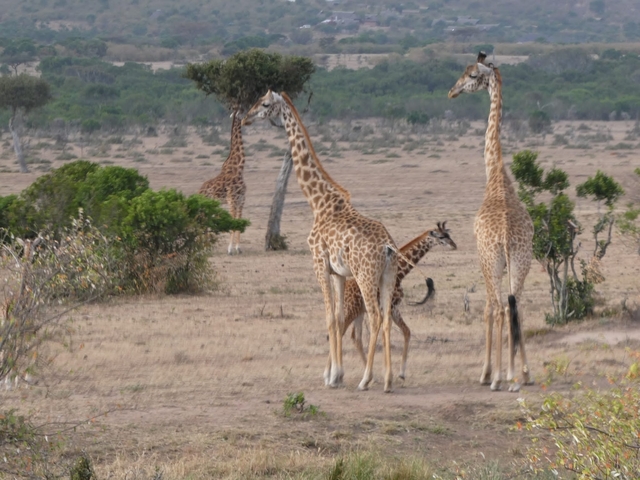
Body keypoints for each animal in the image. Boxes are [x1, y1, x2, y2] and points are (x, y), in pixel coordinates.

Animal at [198, 110, 247, 254]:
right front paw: (230, 249)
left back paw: (206, 246)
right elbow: (233, 220)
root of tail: (198, 191)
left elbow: (239, 220)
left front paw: (238, 248)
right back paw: (203, 247)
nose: (245, 120)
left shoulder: (241, 200)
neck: (239, 168)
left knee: (205, 220)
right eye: (242, 112)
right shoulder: (232, 199)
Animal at [243, 90, 398, 392]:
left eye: (264, 104)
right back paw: (387, 380)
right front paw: (334, 374)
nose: (245, 118)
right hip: (387, 276)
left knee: (375, 318)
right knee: (386, 320)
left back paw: (366, 379)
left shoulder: (318, 264)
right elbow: (337, 318)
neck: (319, 202)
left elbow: (328, 317)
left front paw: (333, 376)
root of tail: (387, 246)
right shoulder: (338, 272)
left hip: (366, 276)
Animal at [337, 222, 457, 381]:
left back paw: (367, 375)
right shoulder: (391, 306)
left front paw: (400, 373)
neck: (400, 273)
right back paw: (337, 375)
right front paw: (389, 372)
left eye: (448, 234)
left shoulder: (393, 308)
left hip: (359, 312)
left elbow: (406, 332)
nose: (454, 245)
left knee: (355, 337)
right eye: (441, 236)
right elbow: (386, 335)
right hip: (351, 310)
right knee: (340, 331)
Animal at [448, 52, 534, 392]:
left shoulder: (481, 256)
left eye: (472, 74)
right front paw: (517, 372)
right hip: (522, 261)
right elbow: (511, 307)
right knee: (516, 304)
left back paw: (500, 378)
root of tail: (508, 237)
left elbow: (486, 308)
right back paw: (521, 374)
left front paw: (486, 373)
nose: (452, 91)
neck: (496, 175)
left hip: (495, 260)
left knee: (498, 306)